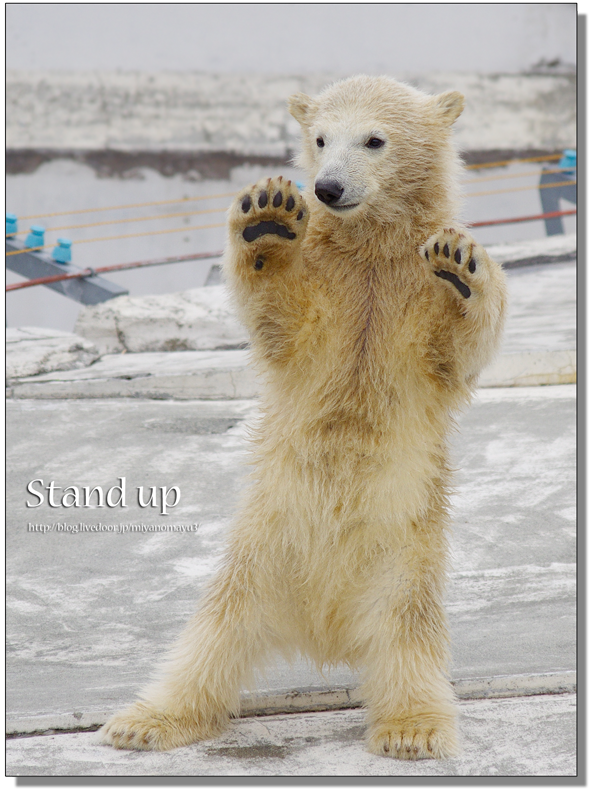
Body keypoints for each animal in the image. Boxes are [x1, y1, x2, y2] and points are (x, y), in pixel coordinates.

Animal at [99, 74, 506, 760]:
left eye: (375, 139)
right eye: (319, 138)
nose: (327, 189)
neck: (370, 247)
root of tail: (325, 630)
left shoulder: (405, 301)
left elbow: (457, 349)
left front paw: (459, 264)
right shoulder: (331, 287)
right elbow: (282, 317)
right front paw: (266, 215)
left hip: (405, 559)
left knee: (409, 640)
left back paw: (413, 729)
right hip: (260, 554)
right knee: (210, 638)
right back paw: (146, 719)